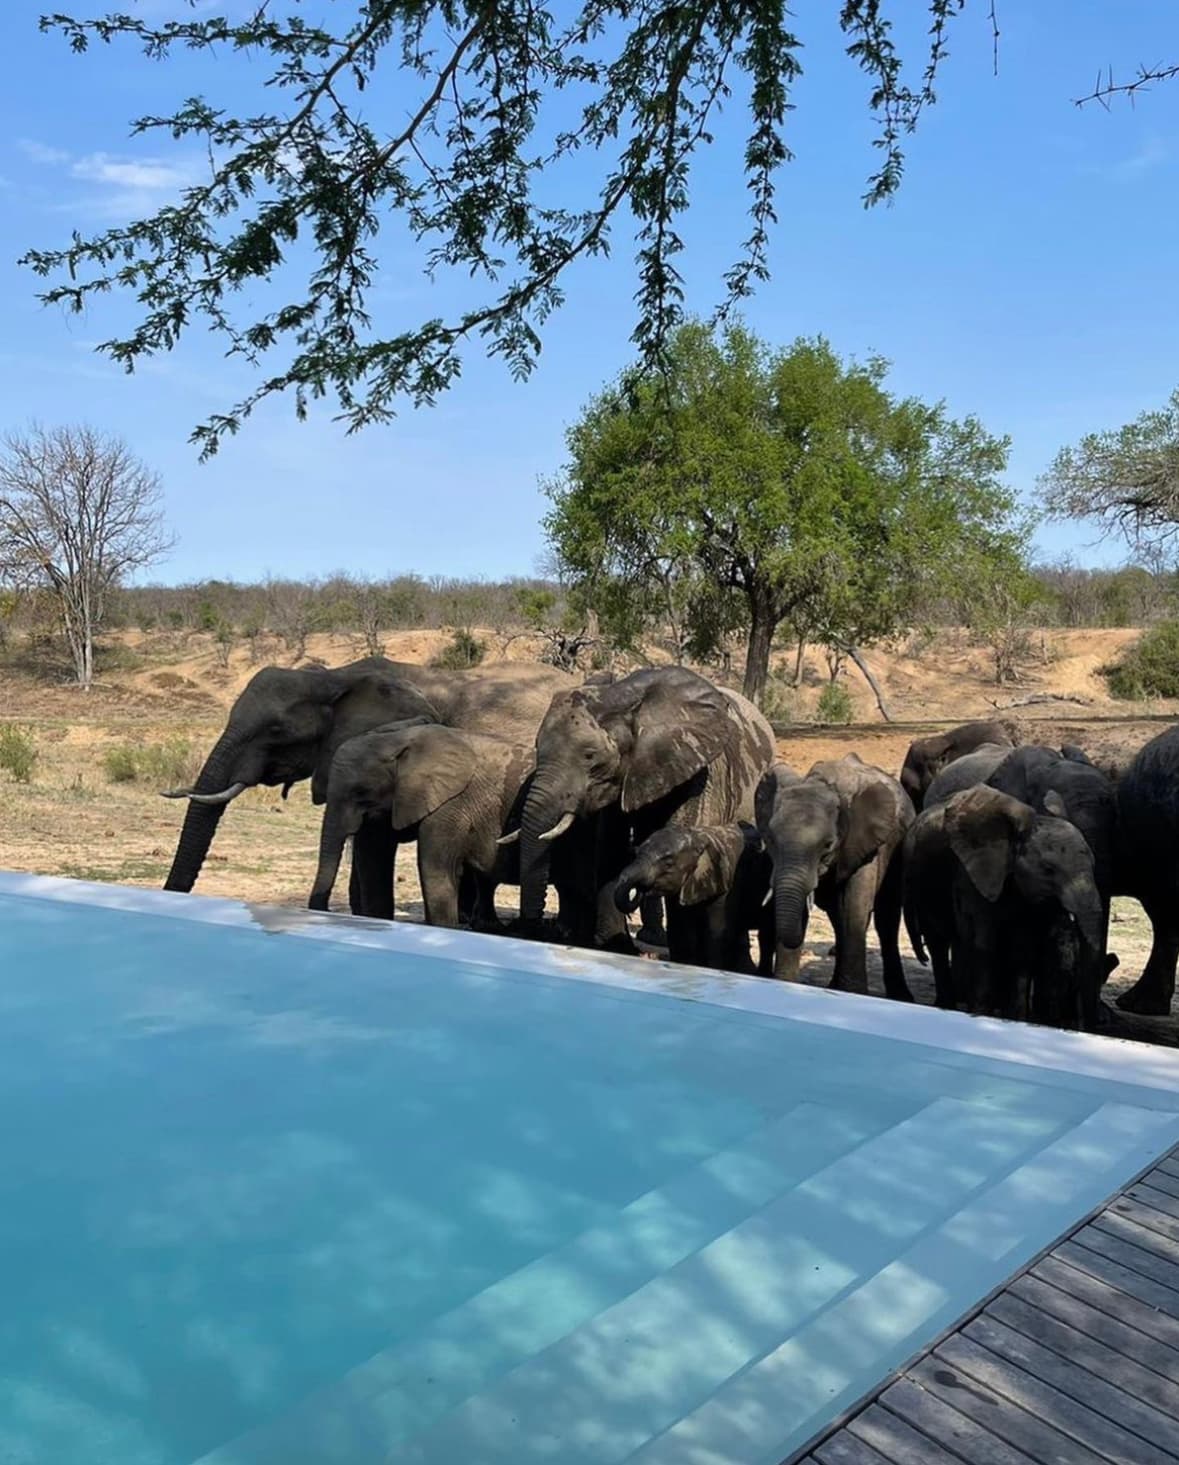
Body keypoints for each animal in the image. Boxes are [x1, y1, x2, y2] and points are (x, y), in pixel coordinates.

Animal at [308, 721, 545, 928]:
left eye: (360, 792)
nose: (326, 910)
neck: (400, 740)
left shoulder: (451, 804)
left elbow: (436, 871)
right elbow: (374, 860)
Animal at [515, 667, 776, 952]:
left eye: (590, 757)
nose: (539, 930)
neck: (626, 695)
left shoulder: (702, 770)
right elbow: (611, 851)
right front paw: (614, 946)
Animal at [613, 822, 774, 973]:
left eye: (668, 863)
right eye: (636, 852)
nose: (641, 889)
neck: (696, 838)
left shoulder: (726, 882)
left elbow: (716, 933)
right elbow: (679, 928)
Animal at [755, 755, 914, 997]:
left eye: (828, 845)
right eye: (770, 840)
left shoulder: (866, 844)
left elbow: (854, 907)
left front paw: (854, 993)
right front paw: (784, 987)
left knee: (886, 918)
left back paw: (900, 995)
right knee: (837, 919)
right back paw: (833, 986)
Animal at [906, 785, 1106, 1028]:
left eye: (1094, 866)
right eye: (1048, 870)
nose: (1082, 1025)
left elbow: (1022, 950)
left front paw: (1017, 1019)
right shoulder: (971, 875)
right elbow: (983, 943)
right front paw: (980, 1015)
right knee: (938, 944)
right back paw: (946, 1007)